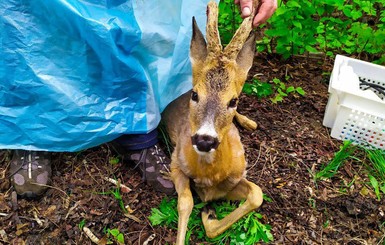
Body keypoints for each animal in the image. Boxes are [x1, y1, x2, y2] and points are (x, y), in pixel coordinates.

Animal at [160, 1, 262, 243]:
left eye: (233, 100)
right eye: (195, 94)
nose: (205, 140)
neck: (209, 176)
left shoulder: (236, 177)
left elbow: (257, 194)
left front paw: (209, 215)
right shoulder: (176, 162)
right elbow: (185, 203)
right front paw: (208, 214)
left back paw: (250, 122)